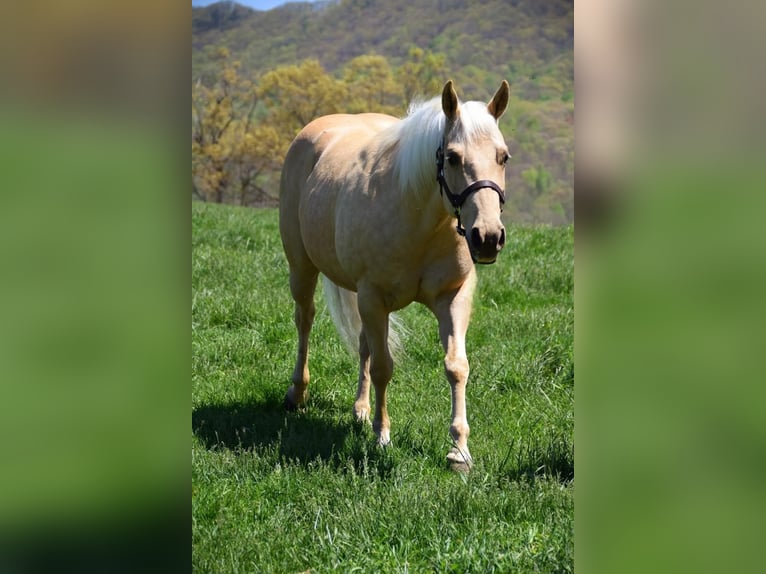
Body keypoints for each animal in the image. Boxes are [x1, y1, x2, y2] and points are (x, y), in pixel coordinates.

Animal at [279, 80, 510, 470]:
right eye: (452, 157)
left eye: (503, 156)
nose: (488, 237)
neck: (421, 221)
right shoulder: (374, 298)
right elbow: (384, 367)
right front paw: (382, 437)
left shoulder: (453, 296)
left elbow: (456, 366)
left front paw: (459, 450)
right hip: (303, 269)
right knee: (305, 321)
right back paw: (298, 393)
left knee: (362, 345)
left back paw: (359, 409)